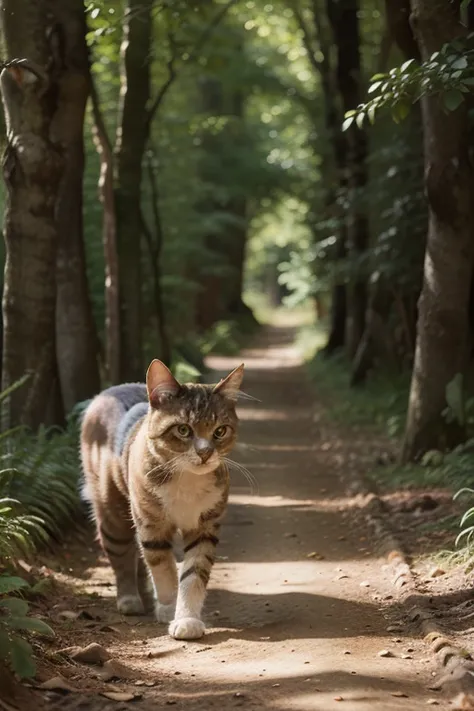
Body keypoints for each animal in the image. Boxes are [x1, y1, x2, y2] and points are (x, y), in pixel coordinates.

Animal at [80, 358, 244, 644]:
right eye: (183, 429)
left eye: (220, 431)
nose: (205, 453)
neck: (186, 479)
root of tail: (109, 391)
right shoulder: (152, 524)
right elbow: (163, 566)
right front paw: (168, 608)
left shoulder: (205, 526)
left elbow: (194, 572)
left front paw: (187, 619)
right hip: (113, 511)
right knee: (121, 553)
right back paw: (130, 599)